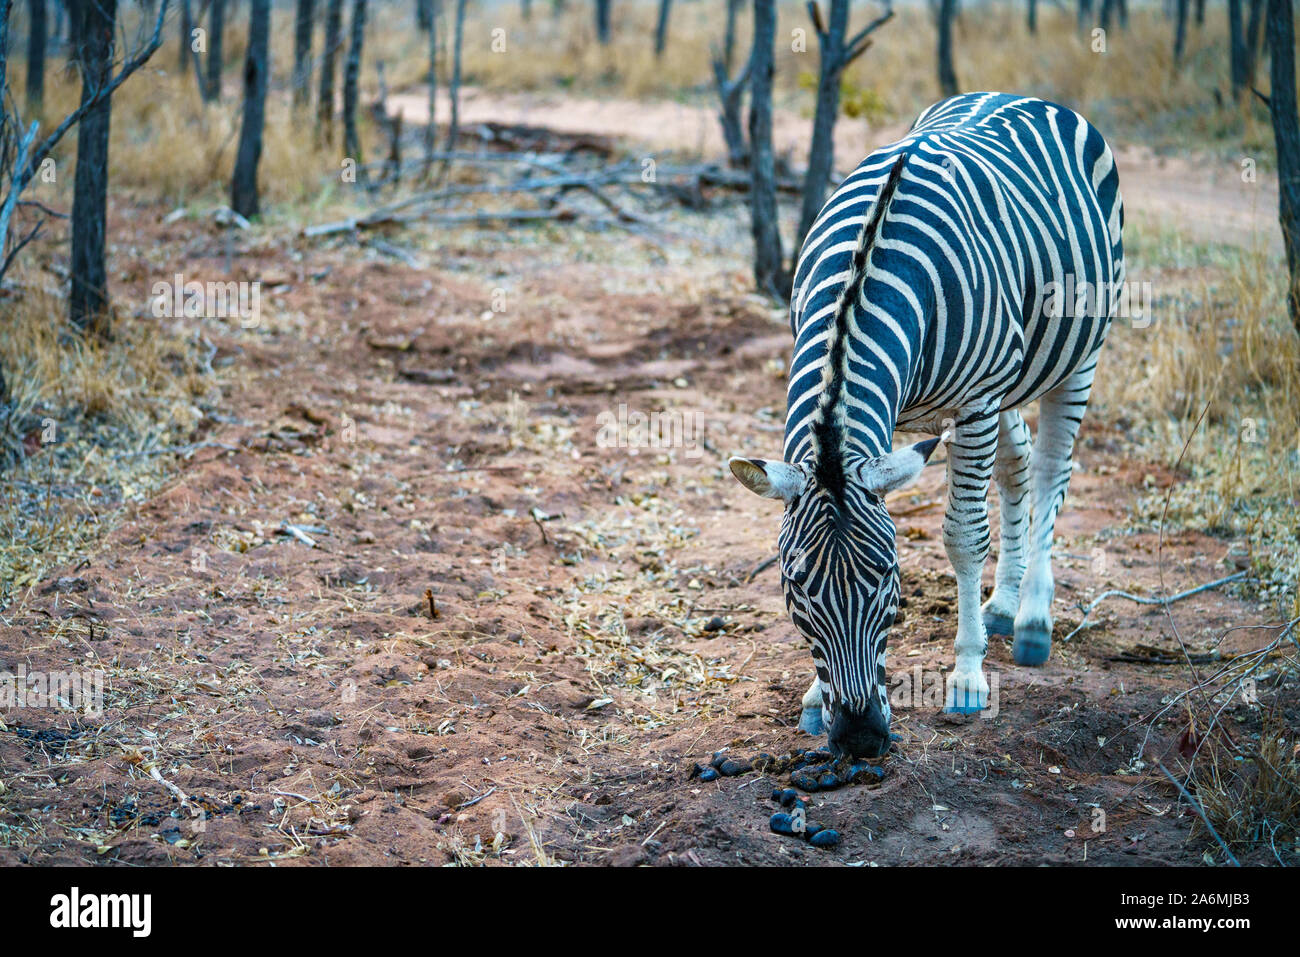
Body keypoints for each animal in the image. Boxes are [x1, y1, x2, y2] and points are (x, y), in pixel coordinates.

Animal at [733, 93, 1128, 759]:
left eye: (889, 580)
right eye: (796, 587)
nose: (861, 738)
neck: (868, 266)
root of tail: (1024, 96)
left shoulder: (975, 400)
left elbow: (964, 537)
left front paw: (967, 677)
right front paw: (813, 697)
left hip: (1077, 354)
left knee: (1052, 468)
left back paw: (1032, 620)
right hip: (1004, 381)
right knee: (1018, 464)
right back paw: (1003, 606)